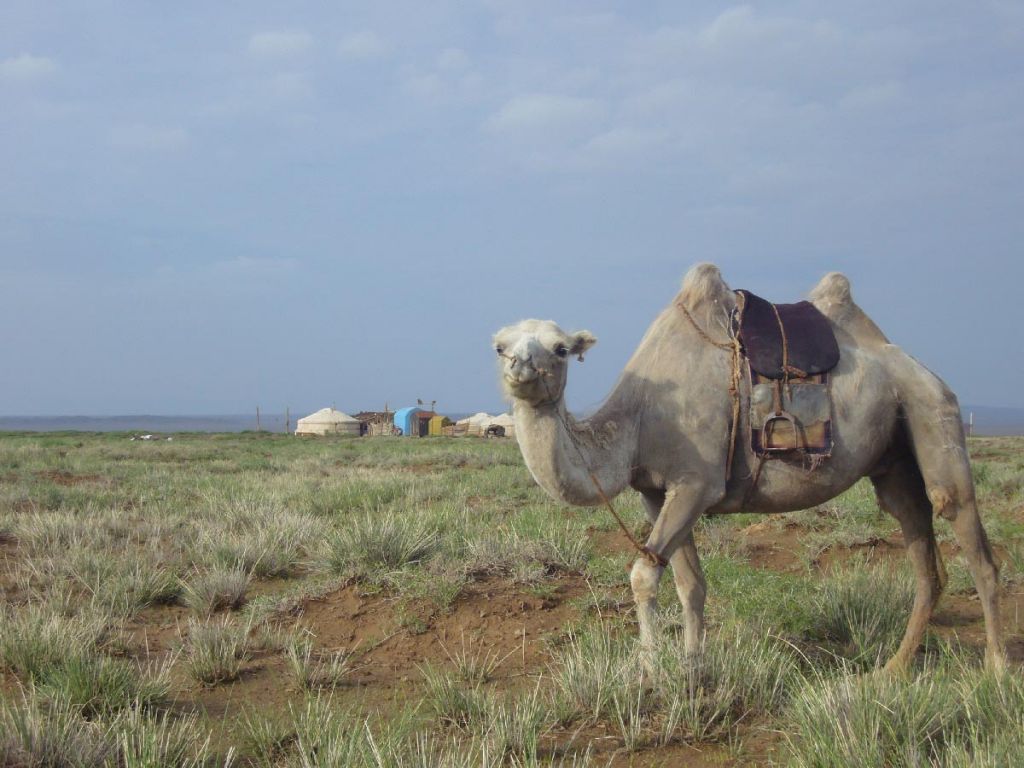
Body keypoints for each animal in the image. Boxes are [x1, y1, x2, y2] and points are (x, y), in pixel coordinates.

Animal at [492, 263, 1005, 673]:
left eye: (560, 348)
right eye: (500, 346)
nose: (520, 366)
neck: (635, 423)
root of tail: (920, 368)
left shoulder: (697, 483)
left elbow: (644, 575)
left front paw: (650, 670)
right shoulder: (656, 492)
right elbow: (690, 583)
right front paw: (692, 667)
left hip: (932, 408)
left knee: (966, 531)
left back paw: (997, 670)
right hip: (893, 458)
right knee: (921, 549)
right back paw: (892, 669)